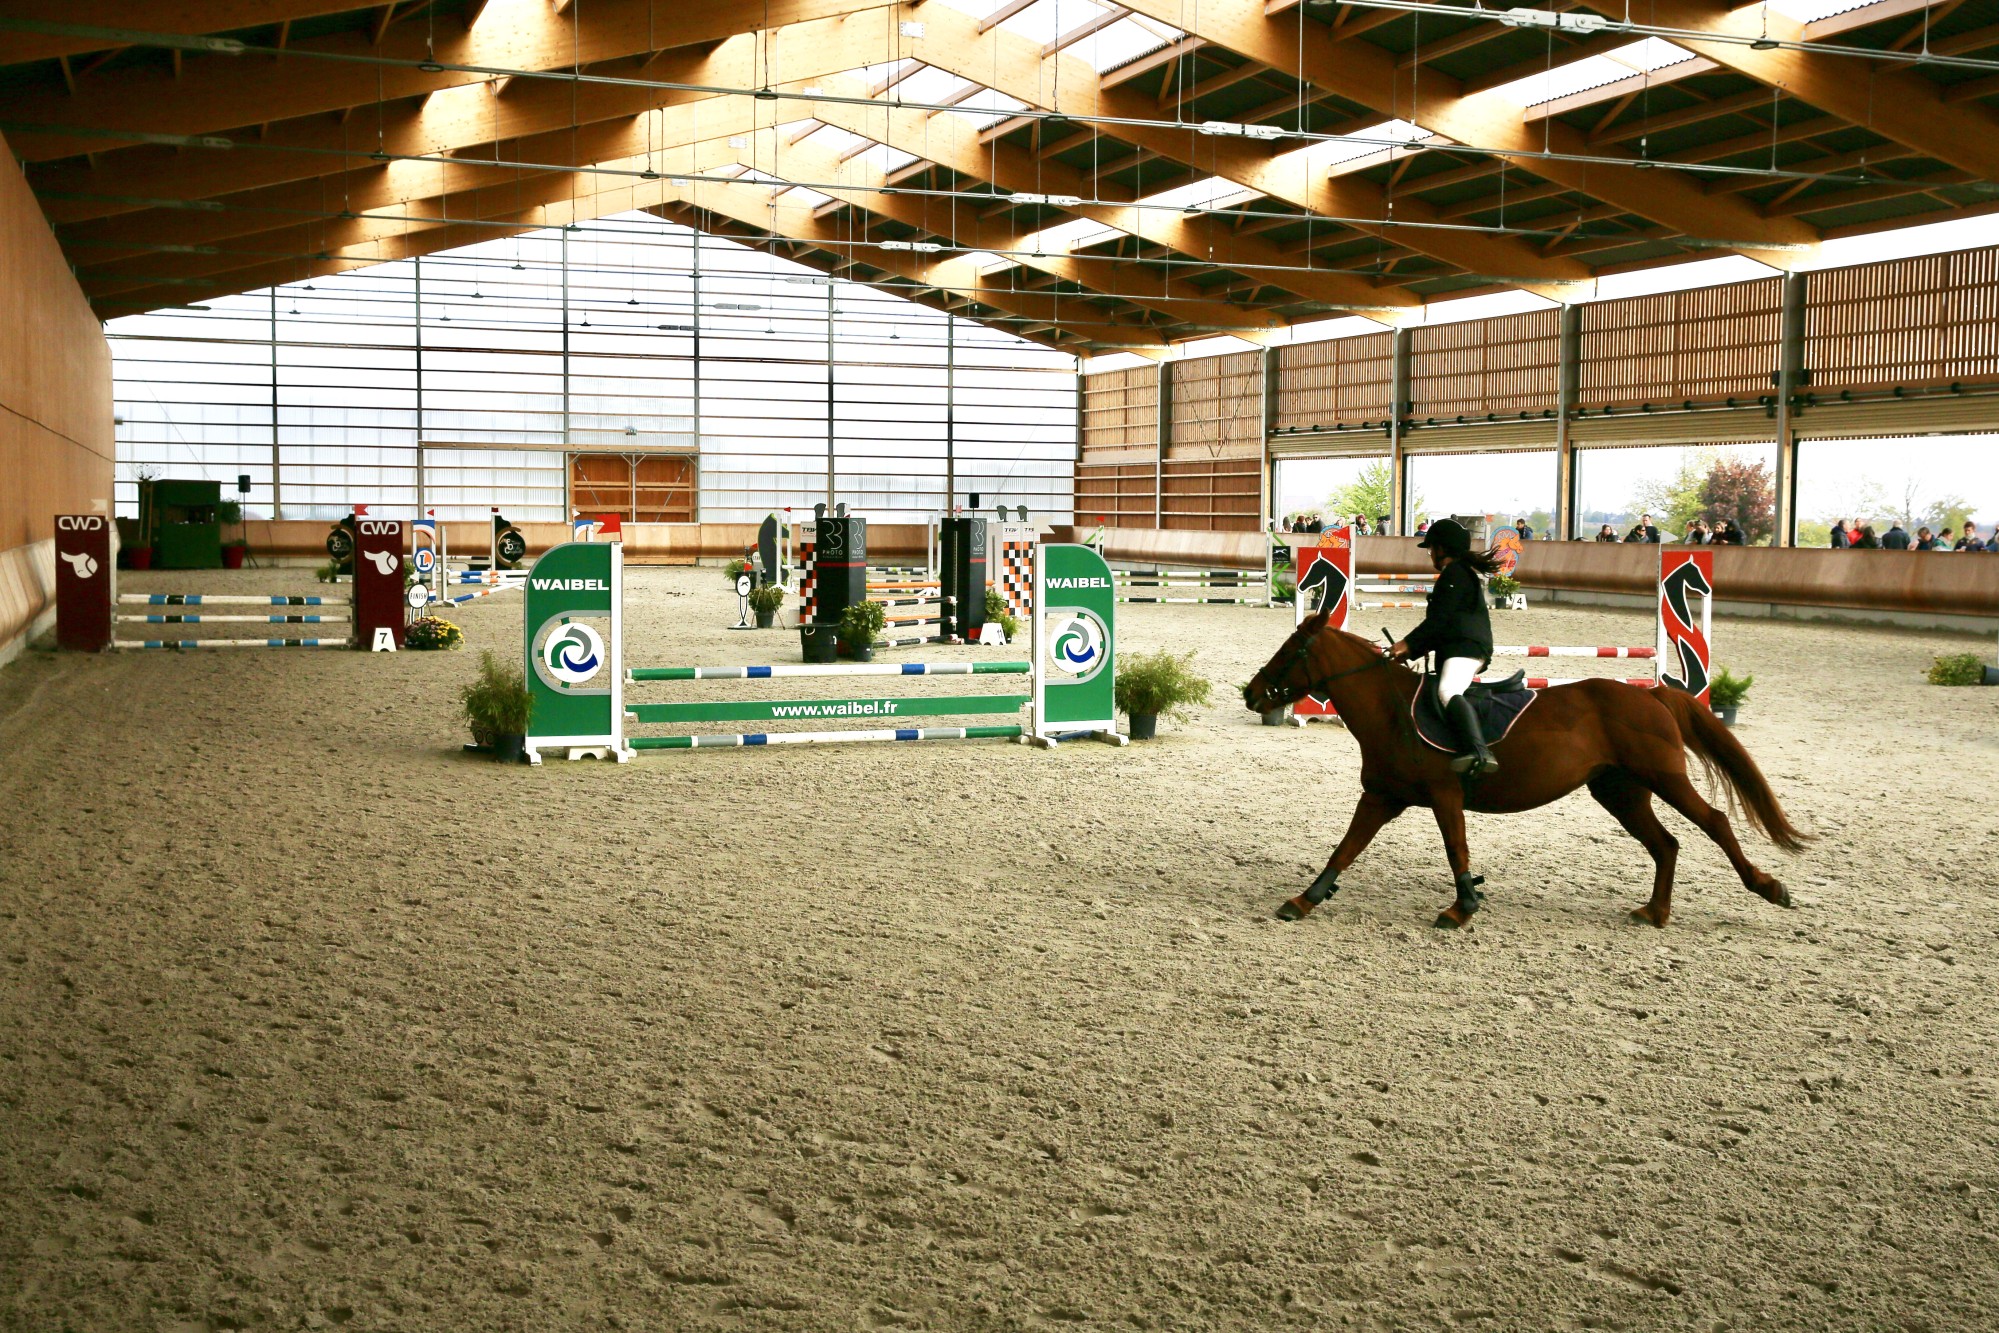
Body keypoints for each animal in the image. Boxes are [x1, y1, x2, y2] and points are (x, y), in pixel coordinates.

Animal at [1243, 613, 1807, 930]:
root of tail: (1651, 695)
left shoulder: (1445, 795)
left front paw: (1462, 907)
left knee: (1714, 822)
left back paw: (1767, 887)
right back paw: (1655, 913)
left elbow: (1456, 850)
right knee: (1665, 844)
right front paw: (1304, 900)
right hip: (1619, 791)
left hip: (1663, 779)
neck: (1391, 711)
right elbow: (1345, 848)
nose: (1251, 693)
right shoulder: (1382, 797)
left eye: (1291, 651)